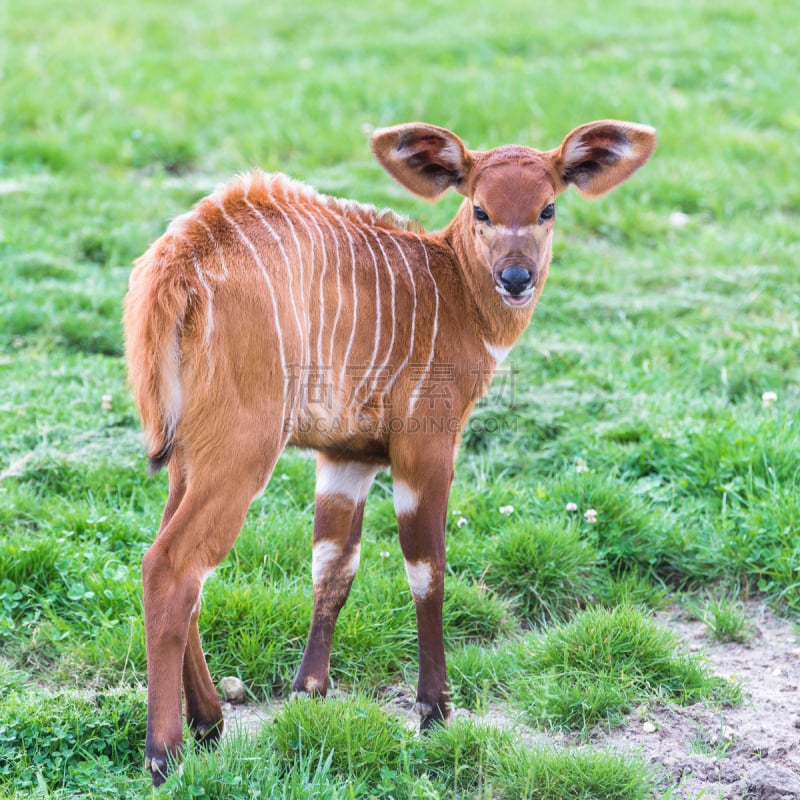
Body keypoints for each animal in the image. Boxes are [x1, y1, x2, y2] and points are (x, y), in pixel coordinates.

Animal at [122, 120, 652, 788]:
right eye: (480, 208)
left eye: (547, 207)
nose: (516, 279)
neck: (451, 286)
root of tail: (176, 264)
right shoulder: (427, 444)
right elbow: (427, 569)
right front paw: (434, 711)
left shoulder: (347, 457)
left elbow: (332, 569)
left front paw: (309, 694)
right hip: (240, 453)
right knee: (171, 567)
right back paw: (164, 752)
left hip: (189, 460)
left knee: (174, 564)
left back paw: (211, 722)